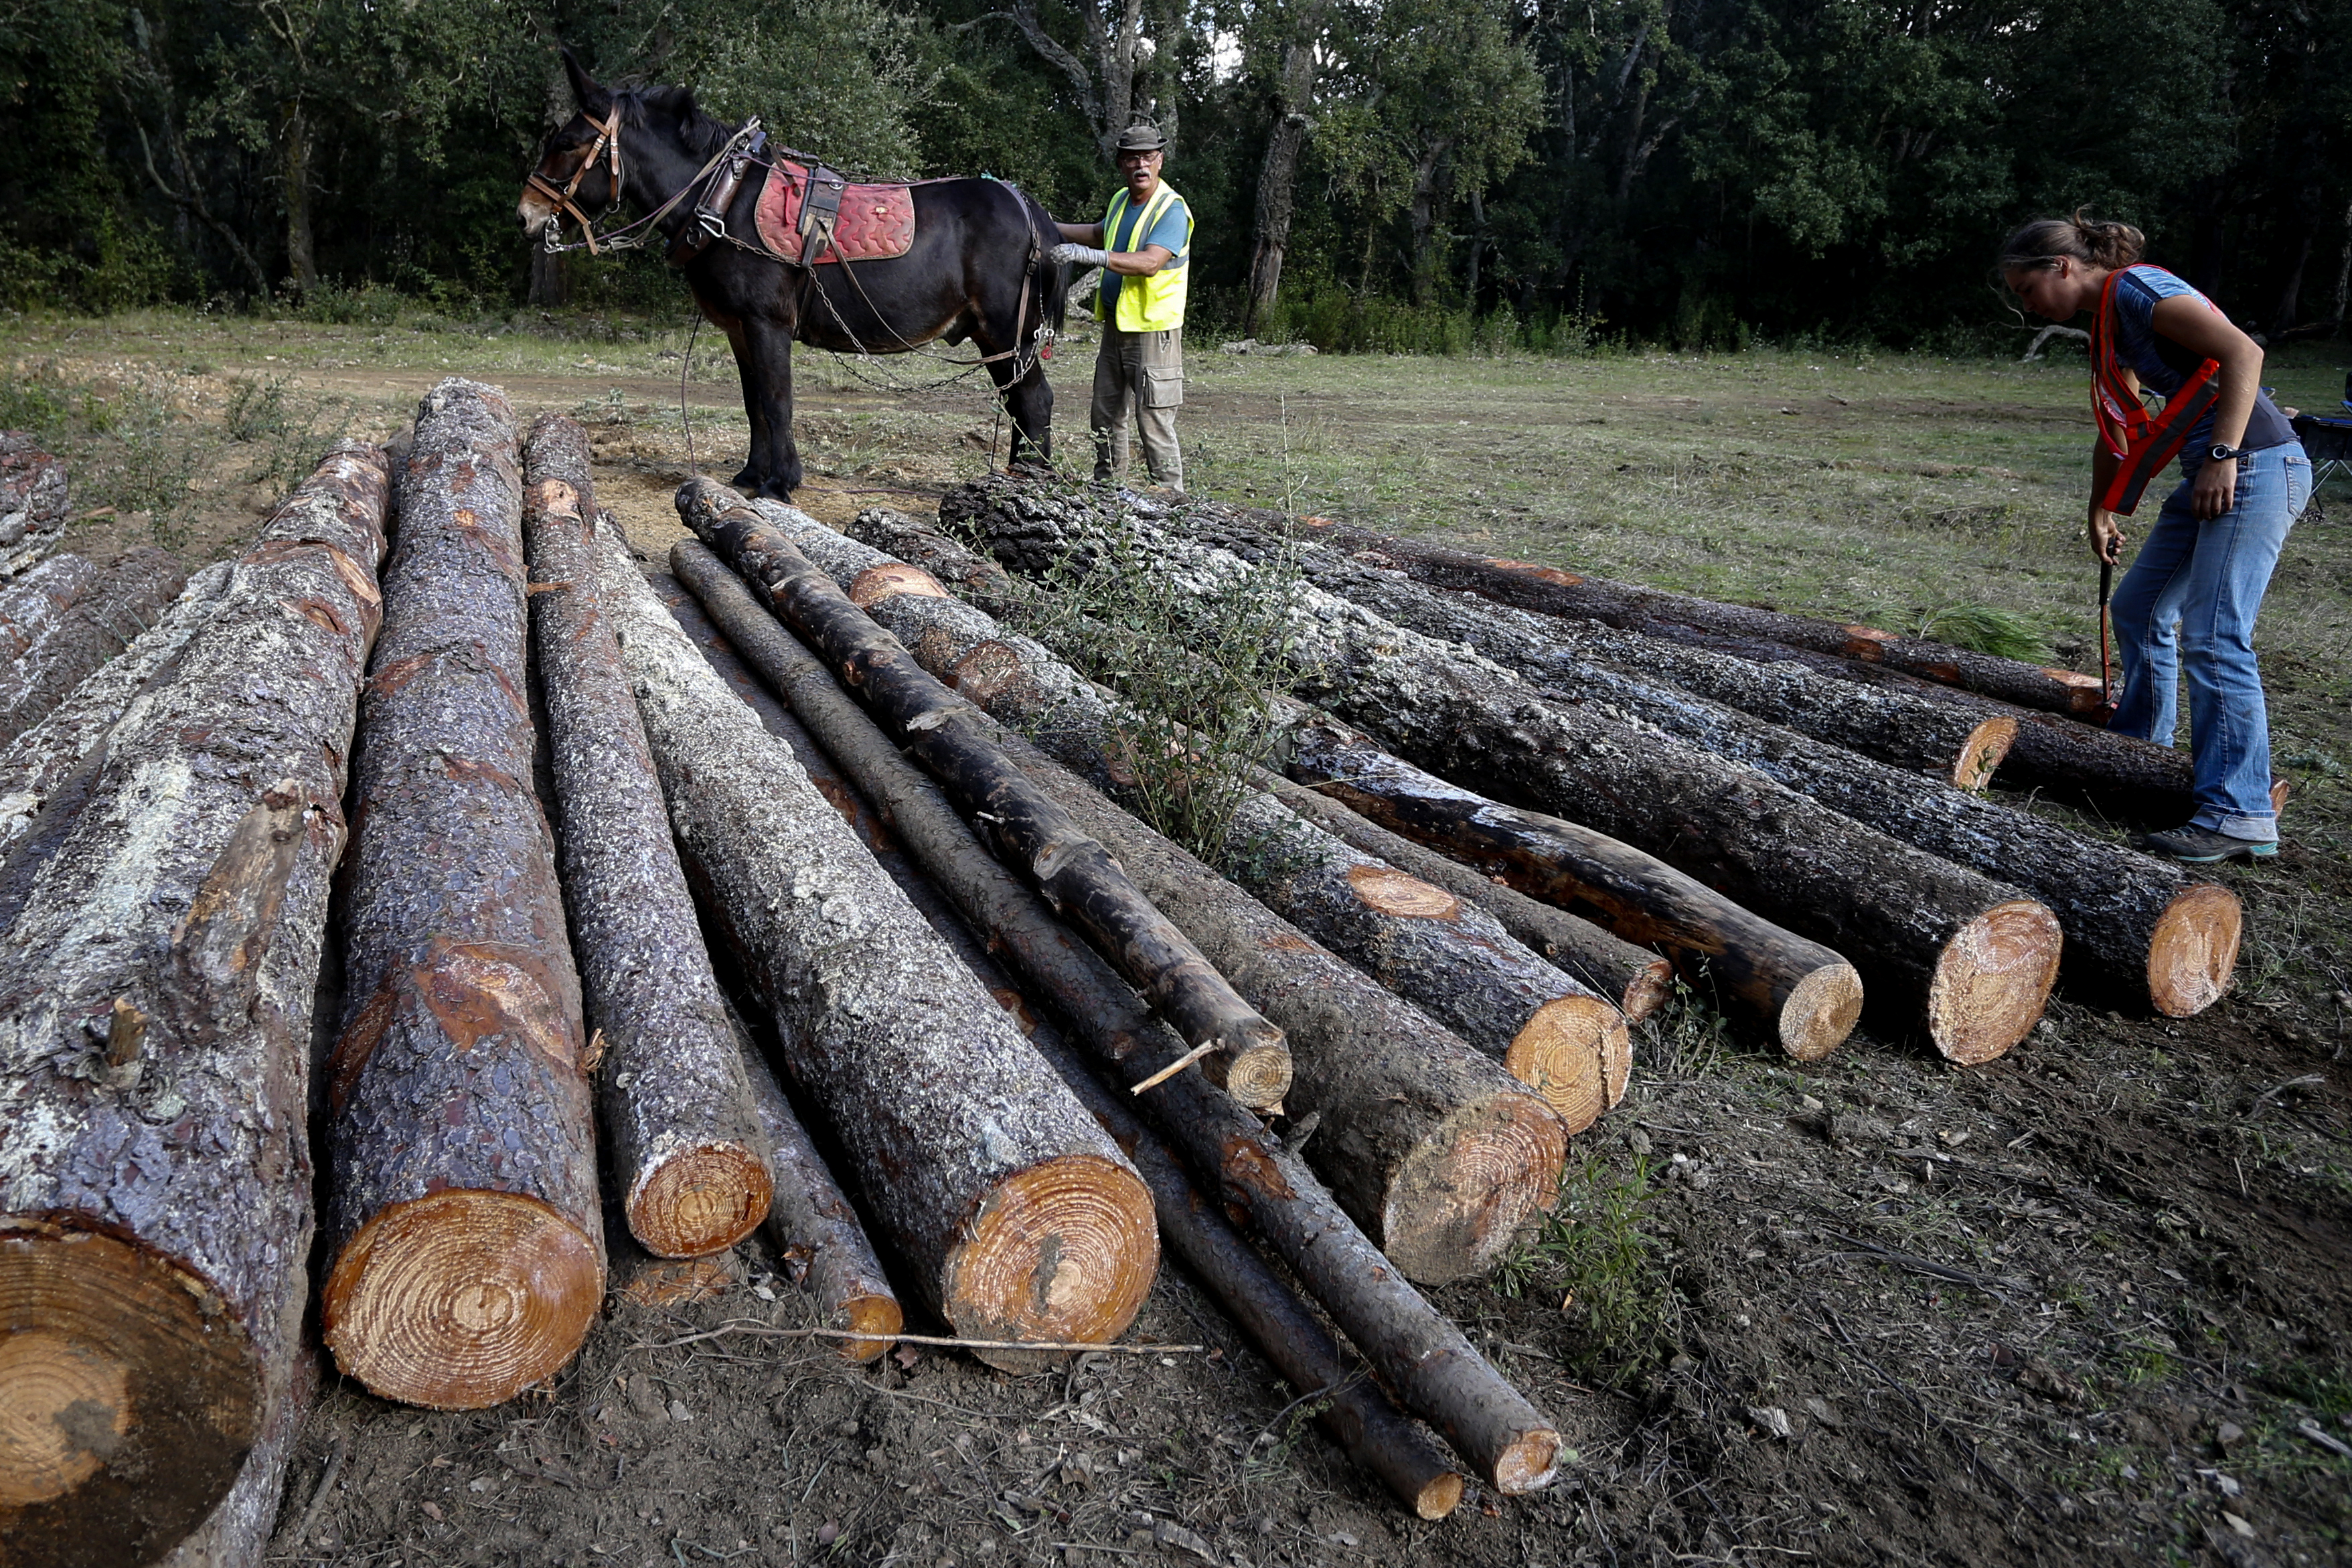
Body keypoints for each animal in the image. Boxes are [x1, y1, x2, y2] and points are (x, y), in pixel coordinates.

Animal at [524, 52, 1067, 500]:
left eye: (567, 143)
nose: (525, 215)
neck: (725, 198)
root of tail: (1030, 209)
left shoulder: (768, 324)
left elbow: (778, 400)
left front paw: (781, 483)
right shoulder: (740, 329)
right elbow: (754, 404)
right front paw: (751, 475)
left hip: (1007, 331)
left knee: (1034, 399)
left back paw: (1030, 482)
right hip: (993, 336)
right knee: (1019, 401)